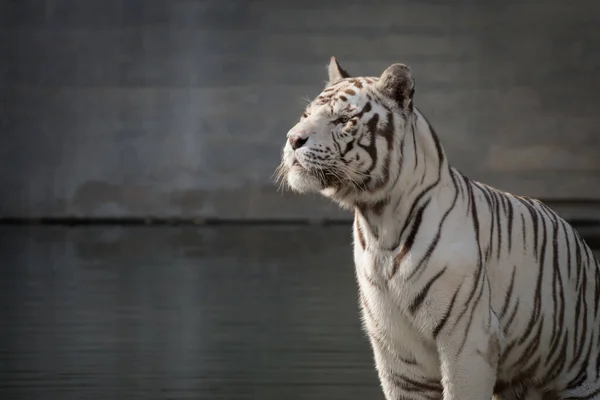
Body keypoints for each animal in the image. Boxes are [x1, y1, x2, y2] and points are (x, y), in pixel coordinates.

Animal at [276, 56, 600, 400]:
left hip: (580, 374)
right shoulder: (397, 352)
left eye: (344, 119)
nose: (292, 139)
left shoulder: (467, 337)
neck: (379, 223)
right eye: (306, 115)